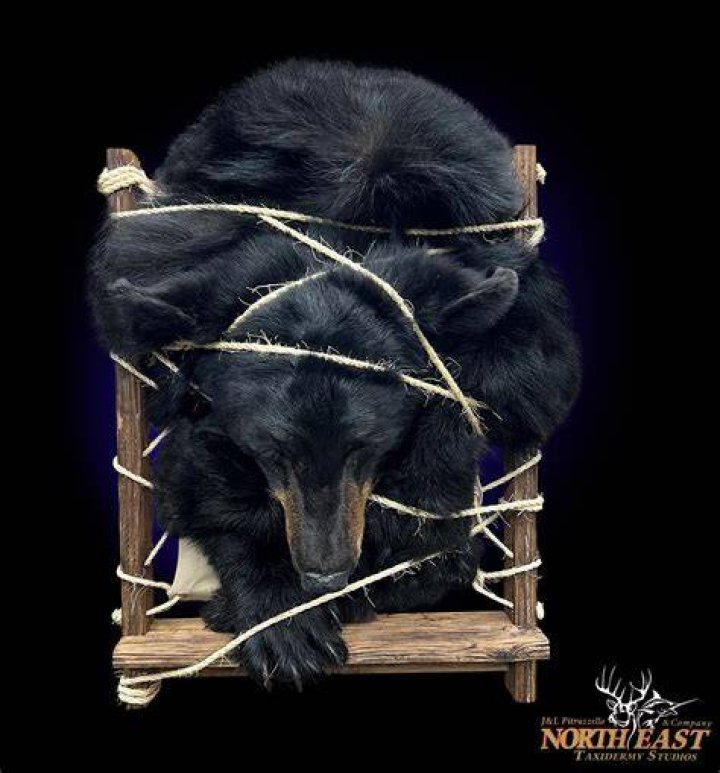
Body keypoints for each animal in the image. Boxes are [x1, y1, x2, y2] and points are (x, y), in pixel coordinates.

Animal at [89, 59, 581, 687]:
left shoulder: (511, 333)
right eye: (272, 452)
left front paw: (380, 575)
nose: (324, 575)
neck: (335, 233)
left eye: (366, 446)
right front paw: (280, 615)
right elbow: (198, 475)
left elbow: (455, 456)